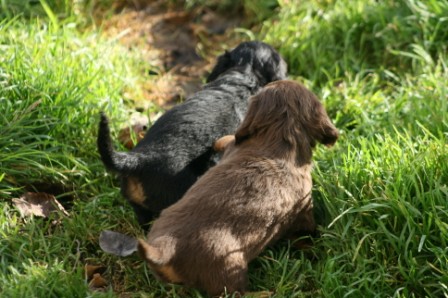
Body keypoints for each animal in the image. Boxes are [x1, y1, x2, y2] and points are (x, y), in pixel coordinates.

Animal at [138, 79, 338, 296]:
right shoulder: (304, 207)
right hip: (229, 267)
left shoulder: (232, 145)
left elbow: (227, 139)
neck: (277, 139)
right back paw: (263, 293)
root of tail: (165, 249)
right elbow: (305, 231)